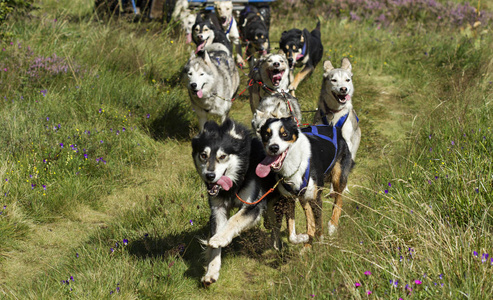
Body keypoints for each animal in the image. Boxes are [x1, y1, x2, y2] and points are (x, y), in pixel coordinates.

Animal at [191, 119, 278, 286]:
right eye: (203, 155)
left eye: (223, 156)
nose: (210, 176)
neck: (237, 179)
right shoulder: (218, 209)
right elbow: (214, 244)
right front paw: (211, 272)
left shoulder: (252, 205)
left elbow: (234, 220)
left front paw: (220, 238)